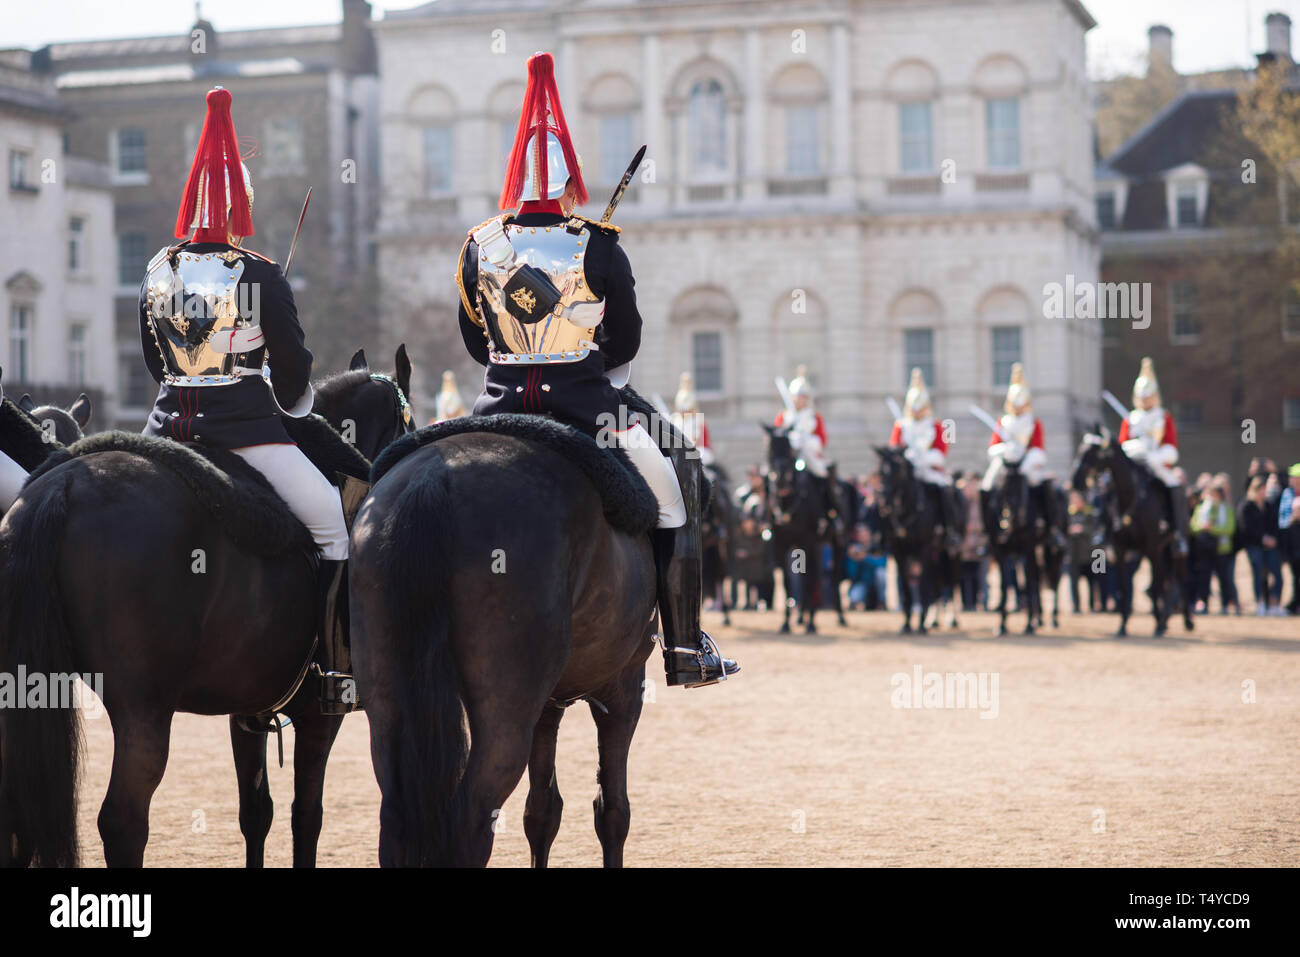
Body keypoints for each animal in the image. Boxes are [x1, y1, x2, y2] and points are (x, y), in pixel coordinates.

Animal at [0, 345, 410, 868]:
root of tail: (66, 484)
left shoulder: (249, 708)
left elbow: (257, 812)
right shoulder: (322, 715)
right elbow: (307, 816)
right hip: (144, 710)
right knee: (122, 823)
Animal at [351, 403, 686, 868]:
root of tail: (432, 477)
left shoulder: (548, 703)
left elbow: (542, 810)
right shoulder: (623, 688)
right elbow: (613, 810)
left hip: (388, 710)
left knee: (397, 819)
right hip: (508, 711)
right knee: (472, 819)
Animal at [759, 426, 832, 634]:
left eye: (790, 450)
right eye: (770, 449)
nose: (781, 479)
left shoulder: (808, 541)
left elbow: (808, 580)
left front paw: (811, 624)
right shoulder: (779, 544)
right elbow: (787, 582)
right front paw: (785, 623)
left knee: (816, 576)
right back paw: (800, 618)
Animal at [1071, 429, 1190, 634]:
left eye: (1092, 453)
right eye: (1080, 448)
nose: (1075, 480)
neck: (1130, 497)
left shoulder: (1151, 548)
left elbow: (1155, 586)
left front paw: (1156, 624)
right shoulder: (1121, 549)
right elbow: (1124, 586)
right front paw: (1123, 625)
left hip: (1173, 550)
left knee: (1179, 580)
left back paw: (1184, 622)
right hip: (1161, 550)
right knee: (1167, 582)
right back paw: (1165, 619)